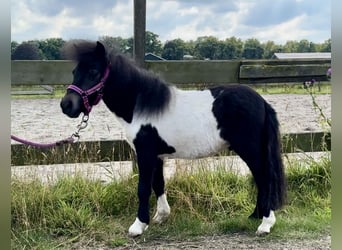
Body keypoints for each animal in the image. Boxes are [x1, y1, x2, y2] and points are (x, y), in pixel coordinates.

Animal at [60, 40, 286, 237]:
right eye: (74, 72)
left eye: (93, 71)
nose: (66, 105)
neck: (141, 107)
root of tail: (262, 102)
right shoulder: (157, 155)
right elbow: (158, 184)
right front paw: (160, 217)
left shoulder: (144, 154)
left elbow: (143, 188)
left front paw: (138, 226)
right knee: (260, 180)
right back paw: (254, 216)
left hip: (250, 149)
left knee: (265, 179)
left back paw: (265, 224)